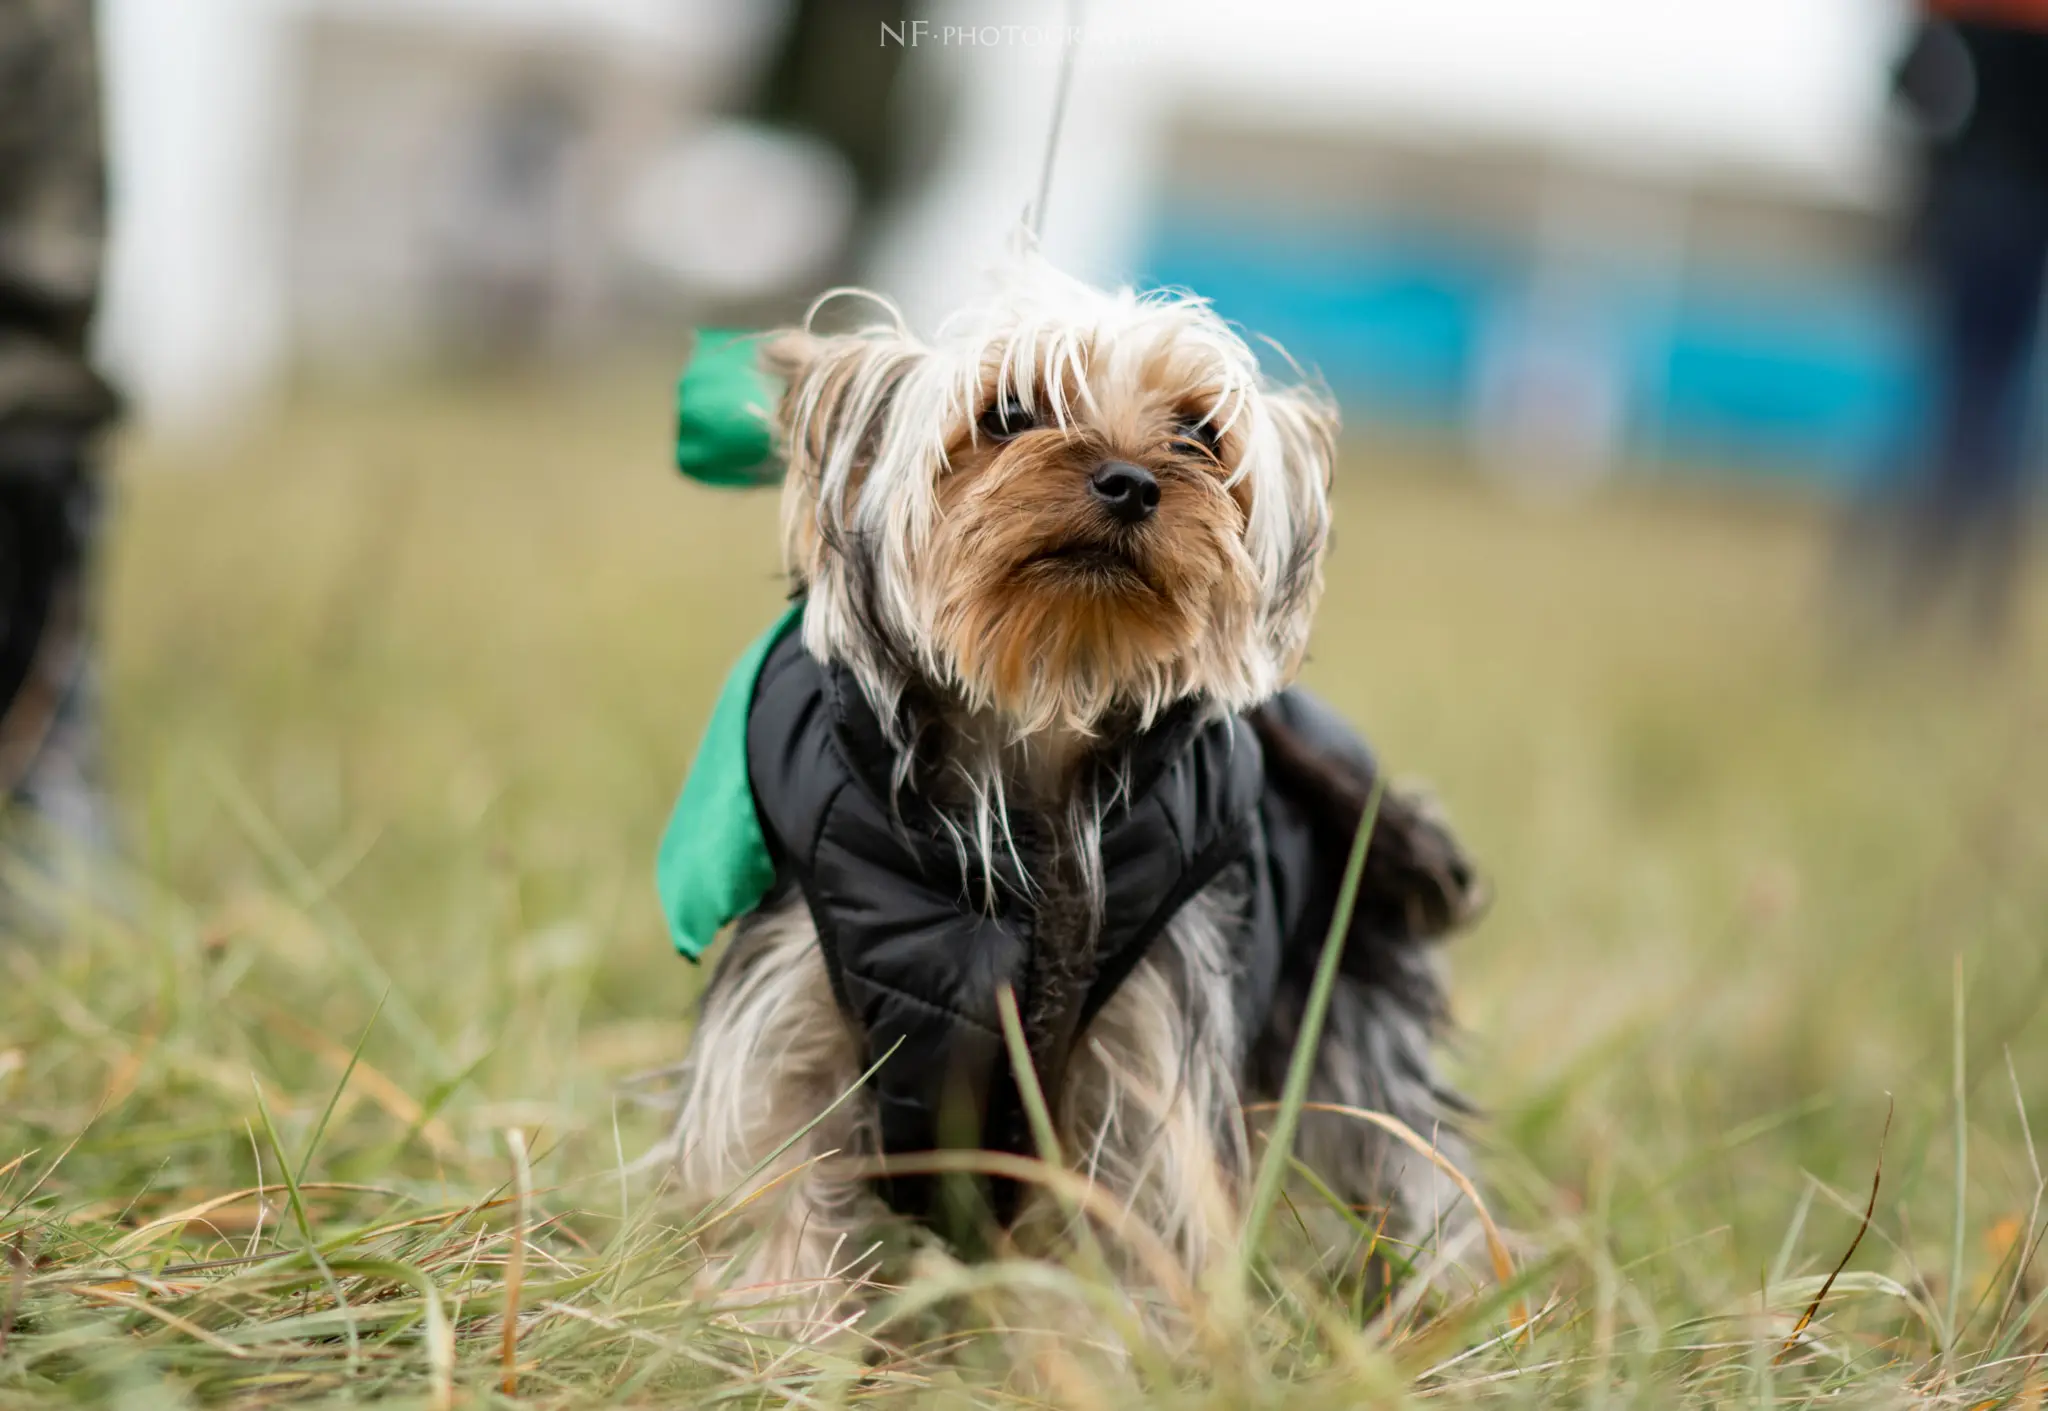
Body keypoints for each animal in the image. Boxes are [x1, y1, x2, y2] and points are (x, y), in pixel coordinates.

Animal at [671, 252, 1490, 1318]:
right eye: (1010, 411)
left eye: (1199, 431)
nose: (1133, 482)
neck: (1030, 736)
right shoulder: (791, 1006)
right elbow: (781, 1185)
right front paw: (780, 1328)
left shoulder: (1146, 1051)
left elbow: (1128, 1231)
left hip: (1352, 1006)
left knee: (1415, 1170)